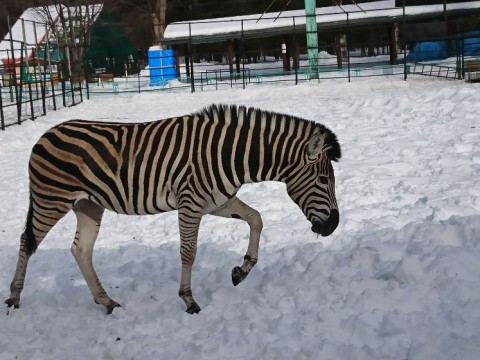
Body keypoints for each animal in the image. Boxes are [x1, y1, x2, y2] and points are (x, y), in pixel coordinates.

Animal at [4, 103, 342, 316]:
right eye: (324, 180)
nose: (334, 226)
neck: (229, 155)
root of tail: (45, 134)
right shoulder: (190, 203)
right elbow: (189, 252)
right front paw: (189, 300)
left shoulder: (218, 202)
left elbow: (256, 219)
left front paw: (241, 271)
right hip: (51, 199)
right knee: (26, 242)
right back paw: (14, 297)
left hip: (88, 204)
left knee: (81, 250)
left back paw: (107, 301)